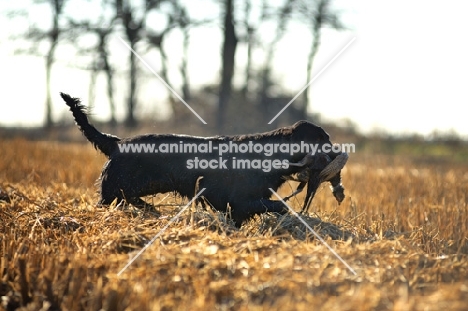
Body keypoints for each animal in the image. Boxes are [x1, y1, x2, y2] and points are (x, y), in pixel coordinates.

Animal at [61, 92, 348, 227]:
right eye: (324, 139)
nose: (338, 154)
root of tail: (117, 144)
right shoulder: (242, 200)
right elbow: (281, 206)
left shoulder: (240, 206)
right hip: (113, 191)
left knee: (132, 200)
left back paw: (151, 211)